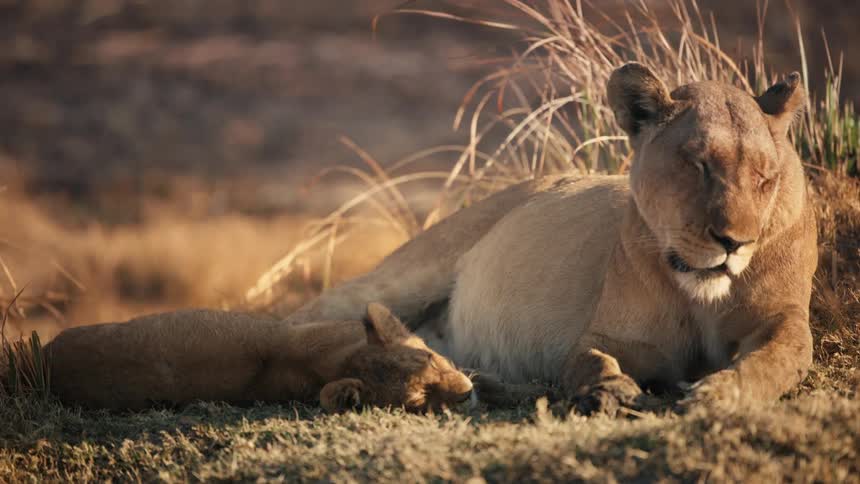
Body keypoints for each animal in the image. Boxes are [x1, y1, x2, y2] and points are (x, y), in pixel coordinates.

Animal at [280, 63, 818, 412]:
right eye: (698, 164)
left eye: (765, 178)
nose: (734, 242)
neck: (698, 296)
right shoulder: (610, 335)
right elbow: (590, 360)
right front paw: (609, 391)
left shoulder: (784, 319)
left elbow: (774, 360)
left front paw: (719, 394)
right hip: (401, 277)